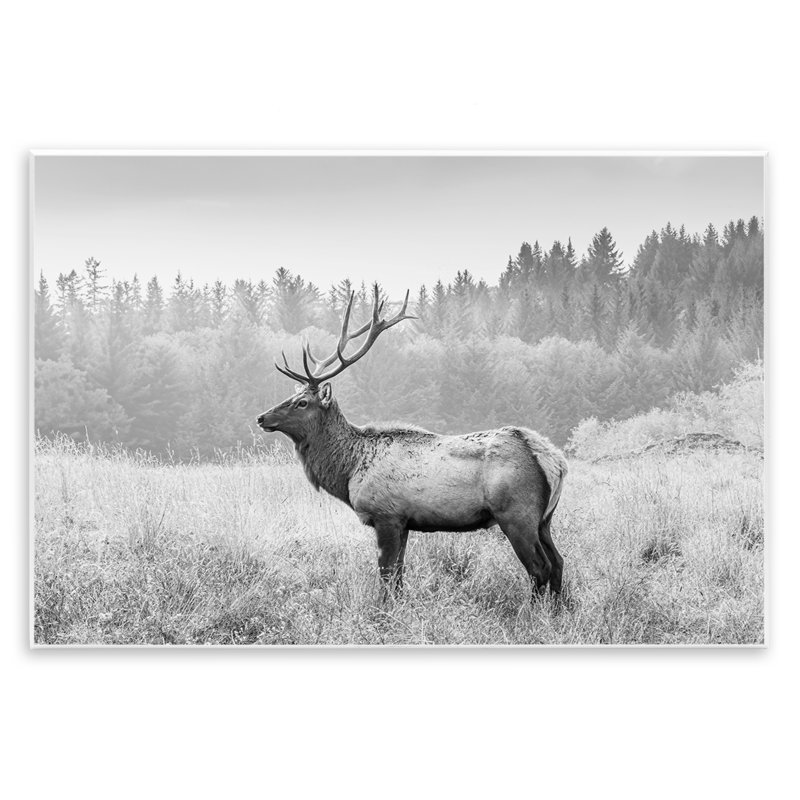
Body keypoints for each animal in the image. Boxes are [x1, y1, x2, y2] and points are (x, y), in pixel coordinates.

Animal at [257, 285, 568, 601]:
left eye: (302, 402)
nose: (262, 417)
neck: (350, 470)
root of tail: (554, 461)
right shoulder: (404, 522)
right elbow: (399, 576)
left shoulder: (386, 515)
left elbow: (386, 575)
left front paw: (382, 609)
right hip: (544, 519)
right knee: (558, 561)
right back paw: (557, 608)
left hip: (517, 513)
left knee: (539, 567)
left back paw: (533, 609)